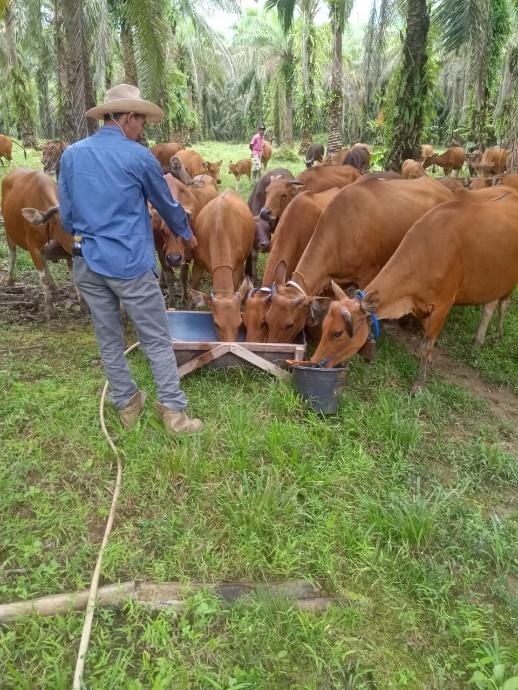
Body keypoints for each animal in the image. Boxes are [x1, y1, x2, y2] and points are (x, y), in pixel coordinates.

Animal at [1, 168, 85, 318]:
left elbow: (75, 278)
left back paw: (54, 285)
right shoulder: (33, 247)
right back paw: (10, 280)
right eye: (63, 226)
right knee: (12, 252)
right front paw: (49, 310)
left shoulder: (67, 251)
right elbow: (43, 278)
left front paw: (83, 306)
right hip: (7, 228)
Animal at [191, 189, 256, 340]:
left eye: (240, 323)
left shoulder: (238, 265)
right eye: (216, 324)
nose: (230, 343)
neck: (219, 228)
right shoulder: (197, 262)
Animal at [312, 191, 518, 390]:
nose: (314, 362)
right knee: (490, 306)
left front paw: (419, 383)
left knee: (504, 305)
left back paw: (498, 337)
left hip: (509, 281)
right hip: (492, 282)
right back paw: (478, 341)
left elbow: (427, 343)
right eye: (324, 326)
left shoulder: (443, 305)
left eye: (337, 333)